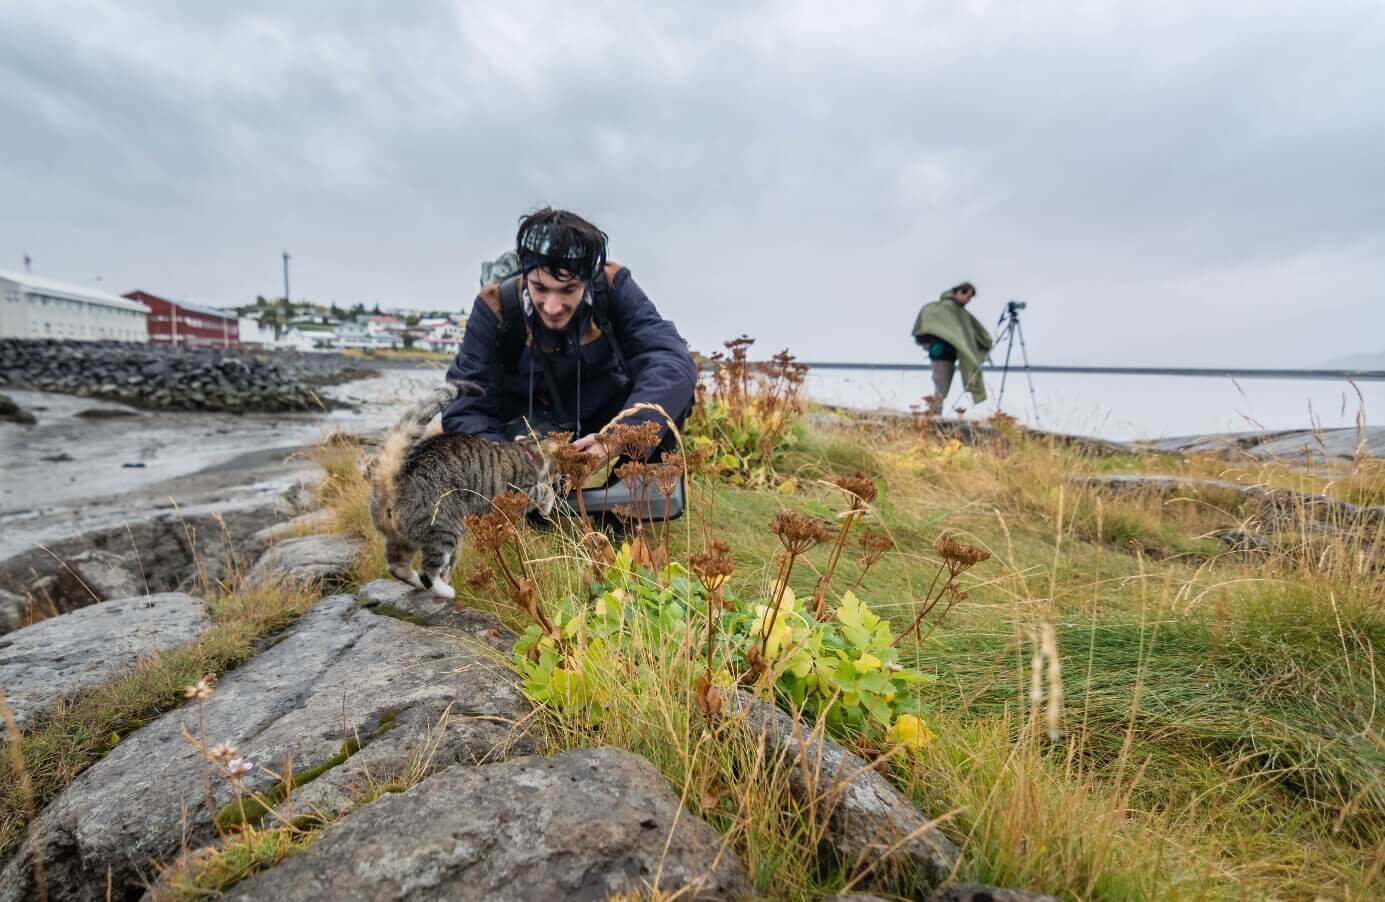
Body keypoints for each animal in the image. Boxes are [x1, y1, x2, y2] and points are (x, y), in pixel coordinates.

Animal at [373, 382, 562, 598]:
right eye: (558, 466)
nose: (560, 477)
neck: (526, 451)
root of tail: (395, 478)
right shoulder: (519, 492)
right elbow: (544, 490)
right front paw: (546, 505)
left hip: (401, 538)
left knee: (398, 567)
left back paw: (420, 583)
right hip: (444, 529)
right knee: (427, 572)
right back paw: (446, 591)